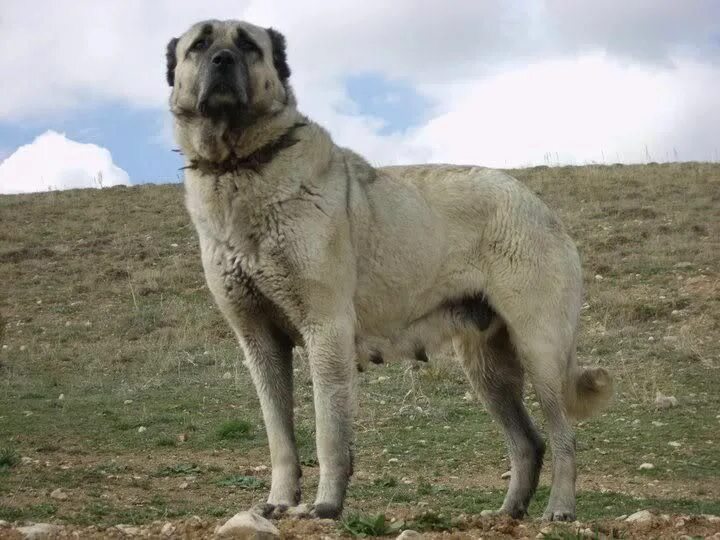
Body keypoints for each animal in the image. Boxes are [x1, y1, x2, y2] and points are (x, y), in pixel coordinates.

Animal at [166, 19, 612, 520]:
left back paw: (560, 508)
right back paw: (507, 512)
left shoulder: (326, 330)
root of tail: (539, 205)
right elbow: (280, 437)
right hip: (487, 369)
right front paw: (279, 502)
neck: (241, 165)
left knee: (563, 435)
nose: (222, 60)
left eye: (247, 45)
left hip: (539, 350)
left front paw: (325, 506)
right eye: (200, 44)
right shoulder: (260, 341)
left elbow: (329, 433)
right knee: (528, 442)